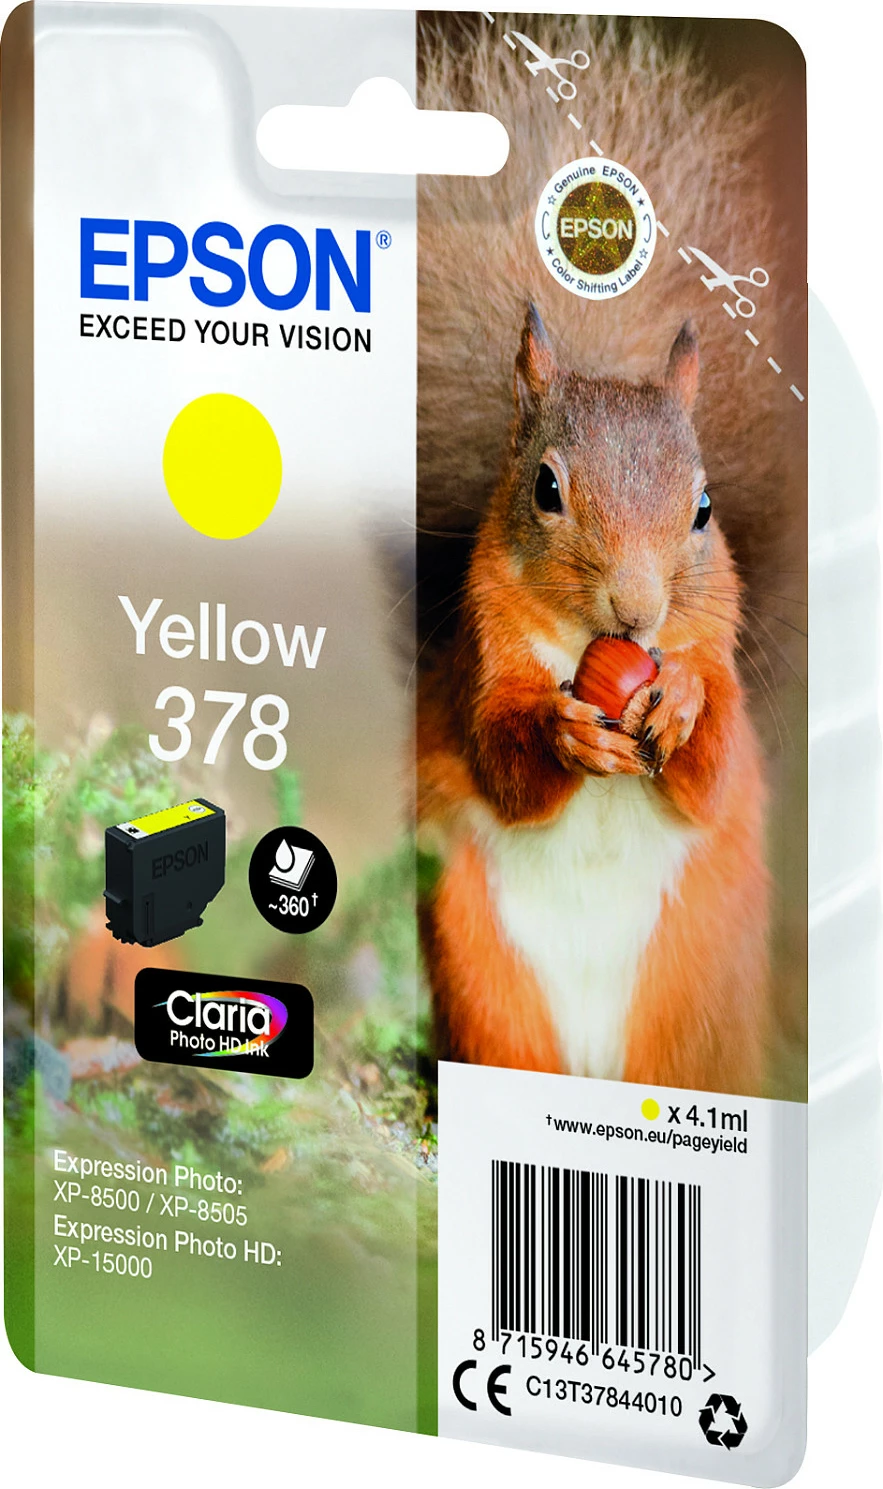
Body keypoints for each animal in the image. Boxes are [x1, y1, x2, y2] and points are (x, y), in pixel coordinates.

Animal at [414, 15, 806, 1095]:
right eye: (545, 489)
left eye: (704, 509)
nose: (636, 613)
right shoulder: (481, 658)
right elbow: (500, 758)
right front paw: (562, 734)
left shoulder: (716, 650)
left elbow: (711, 765)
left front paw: (679, 703)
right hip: (483, 971)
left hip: (692, 993)